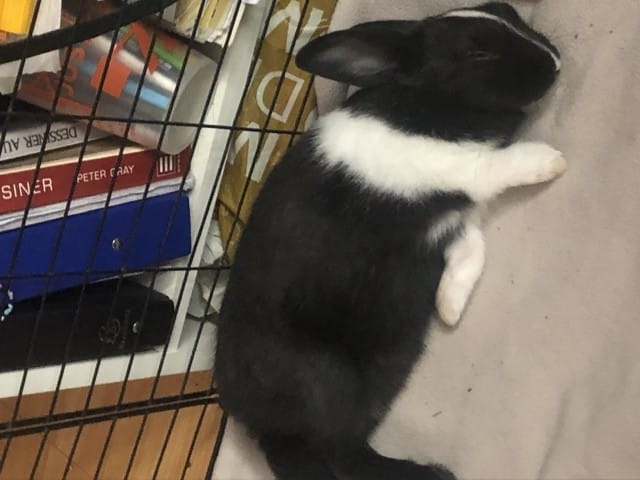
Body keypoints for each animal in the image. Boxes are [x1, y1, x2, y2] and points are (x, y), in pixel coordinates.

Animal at [215, 2, 564, 479]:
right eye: (477, 53)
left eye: (505, 10)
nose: (555, 62)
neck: (424, 104)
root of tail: (260, 425)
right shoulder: (458, 172)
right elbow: (498, 166)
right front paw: (549, 161)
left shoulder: (448, 222)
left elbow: (472, 251)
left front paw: (449, 307)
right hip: (331, 383)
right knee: (343, 453)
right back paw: (434, 472)